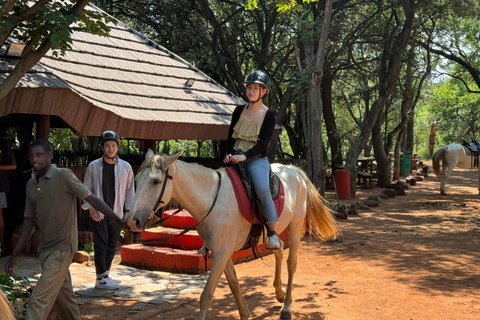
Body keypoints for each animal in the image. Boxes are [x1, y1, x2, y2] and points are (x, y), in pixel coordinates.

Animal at [125, 151, 340, 320]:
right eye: (135, 180)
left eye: (156, 181)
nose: (132, 221)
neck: (211, 200)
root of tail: (294, 171)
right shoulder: (221, 251)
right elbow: (235, 285)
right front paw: (245, 314)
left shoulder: (221, 253)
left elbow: (206, 295)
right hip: (275, 229)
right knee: (278, 250)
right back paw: (279, 292)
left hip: (295, 225)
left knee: (291, 263)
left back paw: (286, 307)